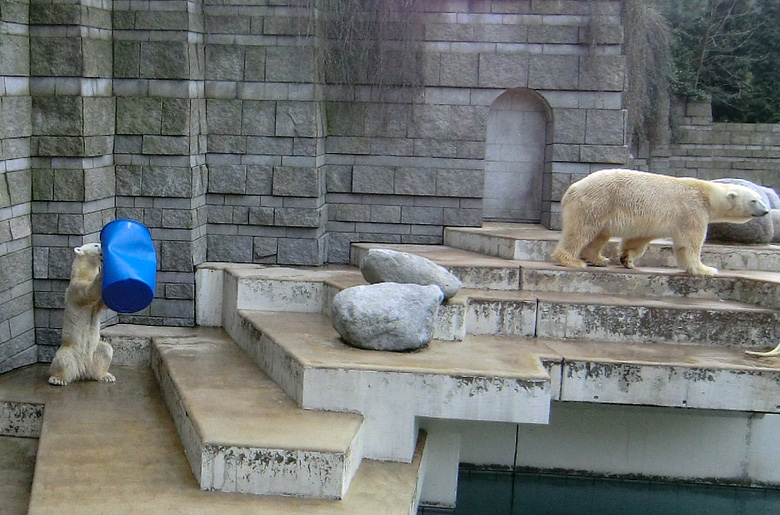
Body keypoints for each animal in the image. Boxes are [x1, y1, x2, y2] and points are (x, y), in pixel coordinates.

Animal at [47, 244, 114, 384]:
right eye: (95, 245)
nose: (103, 246)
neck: (84, 273)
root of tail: (82, 369)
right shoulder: (76, 287)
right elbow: (89, 292)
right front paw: (103, 271)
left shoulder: (97, 303)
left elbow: (103, 303)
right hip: (71, 349)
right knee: (63, 358)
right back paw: (57, 379)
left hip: (94, 353)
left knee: (105, 350)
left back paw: (106, 376)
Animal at [556, 169, 768, 276]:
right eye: (753, 200)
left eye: (759, 198)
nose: (765, 211)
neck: (708, 194)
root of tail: (572, 189)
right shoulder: (693, 211)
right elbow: (689, 243)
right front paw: (706, 269)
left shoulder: (648, 221)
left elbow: (637, 240)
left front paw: (628, 260)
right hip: (598, 201)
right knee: (581, 230)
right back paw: (571, 260)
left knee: (600, 234)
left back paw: (598, 259)